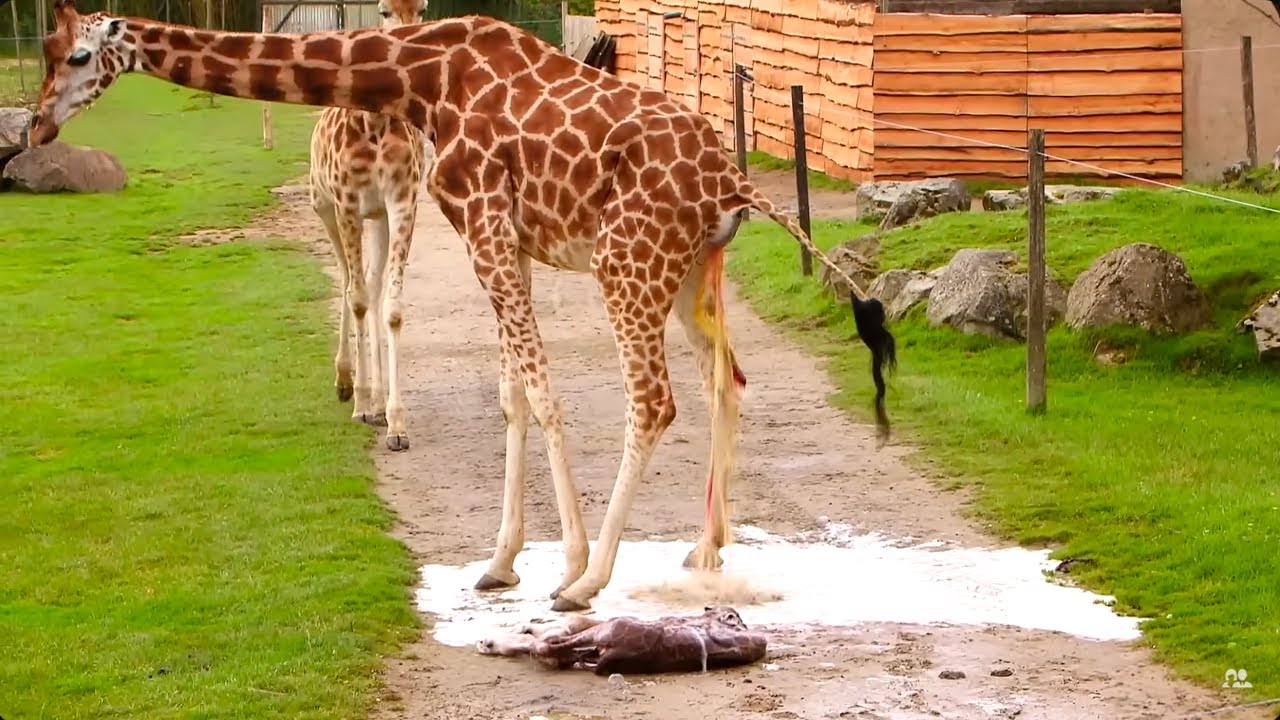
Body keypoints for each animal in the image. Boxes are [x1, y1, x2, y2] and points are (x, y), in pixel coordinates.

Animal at [308, 0, 428, 452]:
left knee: (372, 286)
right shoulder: (346, 203)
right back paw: (346, 383)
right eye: (383, 10)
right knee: (347, 282)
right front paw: (360, 403)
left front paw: (395, 422)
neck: (375, 128)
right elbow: (356, 297)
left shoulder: (401, 202)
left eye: (422, 7)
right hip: (325, 208)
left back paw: (376, 401)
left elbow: (391, 307)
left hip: (375, 219)